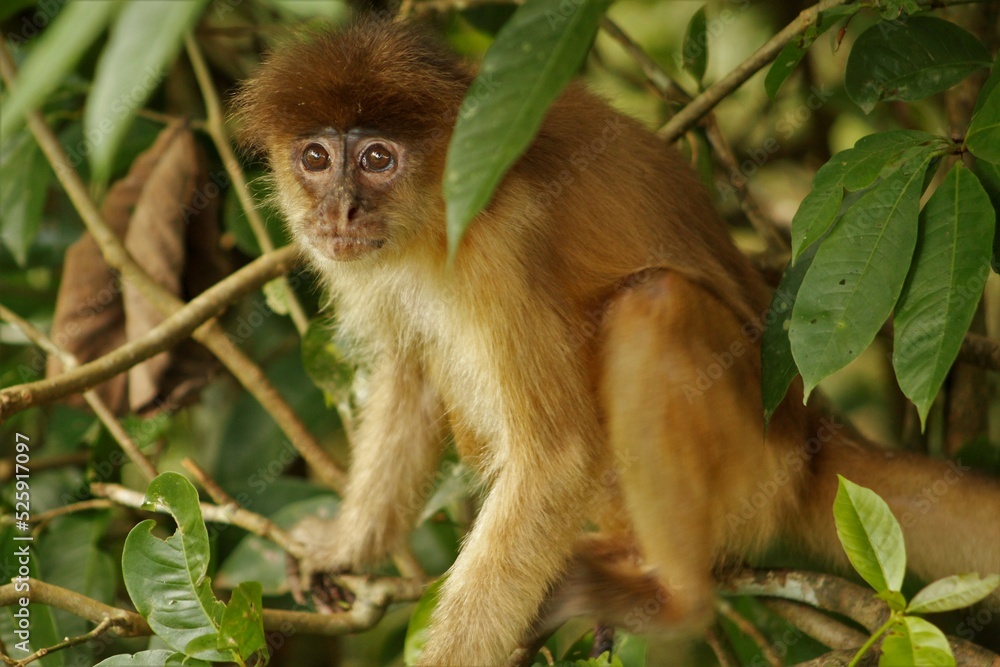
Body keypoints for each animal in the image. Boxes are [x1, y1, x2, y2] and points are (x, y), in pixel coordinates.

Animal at [233, 18, 1000, 666]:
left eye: (377, 158)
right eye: (315, 157)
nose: (339, 209)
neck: (427, 227)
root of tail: (811, 436)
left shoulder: (501, 237)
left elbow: (555, 460)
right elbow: (409, 368)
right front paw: (345, 549)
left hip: (754, 470)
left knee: (649, 306)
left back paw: (676, 599)